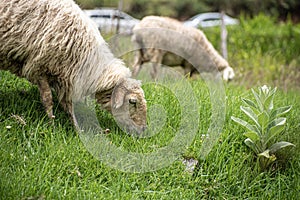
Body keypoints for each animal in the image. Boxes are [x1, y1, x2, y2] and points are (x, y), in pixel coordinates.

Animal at [0, 0, 147, 134]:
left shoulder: (65, 76)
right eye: (132, 101)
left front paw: (77, 129)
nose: (143, 129)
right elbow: (48, 99)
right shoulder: (40, 68)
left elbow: (69, 106)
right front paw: (52, 124)